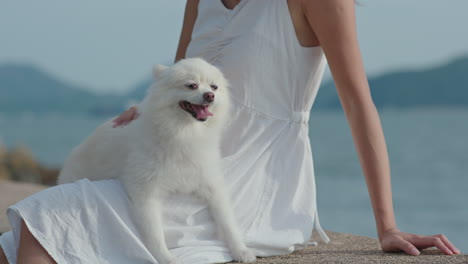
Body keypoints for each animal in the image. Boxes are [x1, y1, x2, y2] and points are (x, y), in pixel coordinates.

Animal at [59, 58, 258, 264]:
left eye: (214, 87)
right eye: (191, 85)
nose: (210, 95)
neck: (185, 133)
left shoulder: (212, 184)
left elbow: (227, 220)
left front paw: (241, 250)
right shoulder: (146, 193)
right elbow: (154, 233)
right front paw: (166, 258)